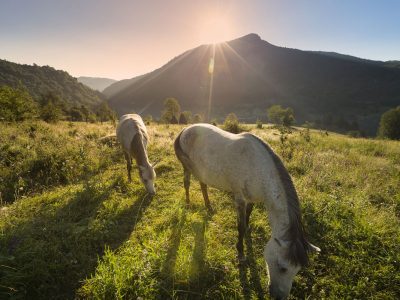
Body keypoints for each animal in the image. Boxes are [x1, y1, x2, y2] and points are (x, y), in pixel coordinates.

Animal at [173, 123, 320, 298]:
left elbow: (248, 217)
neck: (257, 168)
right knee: (187, 183)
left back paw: (208, 207)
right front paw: (241, 254)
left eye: (297, 270)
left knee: (203, 185)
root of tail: (185, 130)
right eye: (283, 267)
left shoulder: (252, 199)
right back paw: (188, 203)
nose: (279, 297)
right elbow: (240, 227)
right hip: (187, 167)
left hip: (202, 170)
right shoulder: (240, 199)